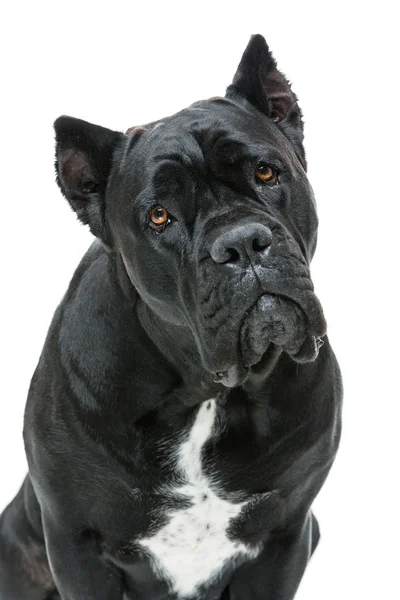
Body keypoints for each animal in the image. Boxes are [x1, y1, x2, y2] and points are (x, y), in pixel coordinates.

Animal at [0, 34, 344, 600]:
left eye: (266, 172)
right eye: (159, 215)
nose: (241, 244)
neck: (203, 392)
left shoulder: (286, 534)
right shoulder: (75, 544)